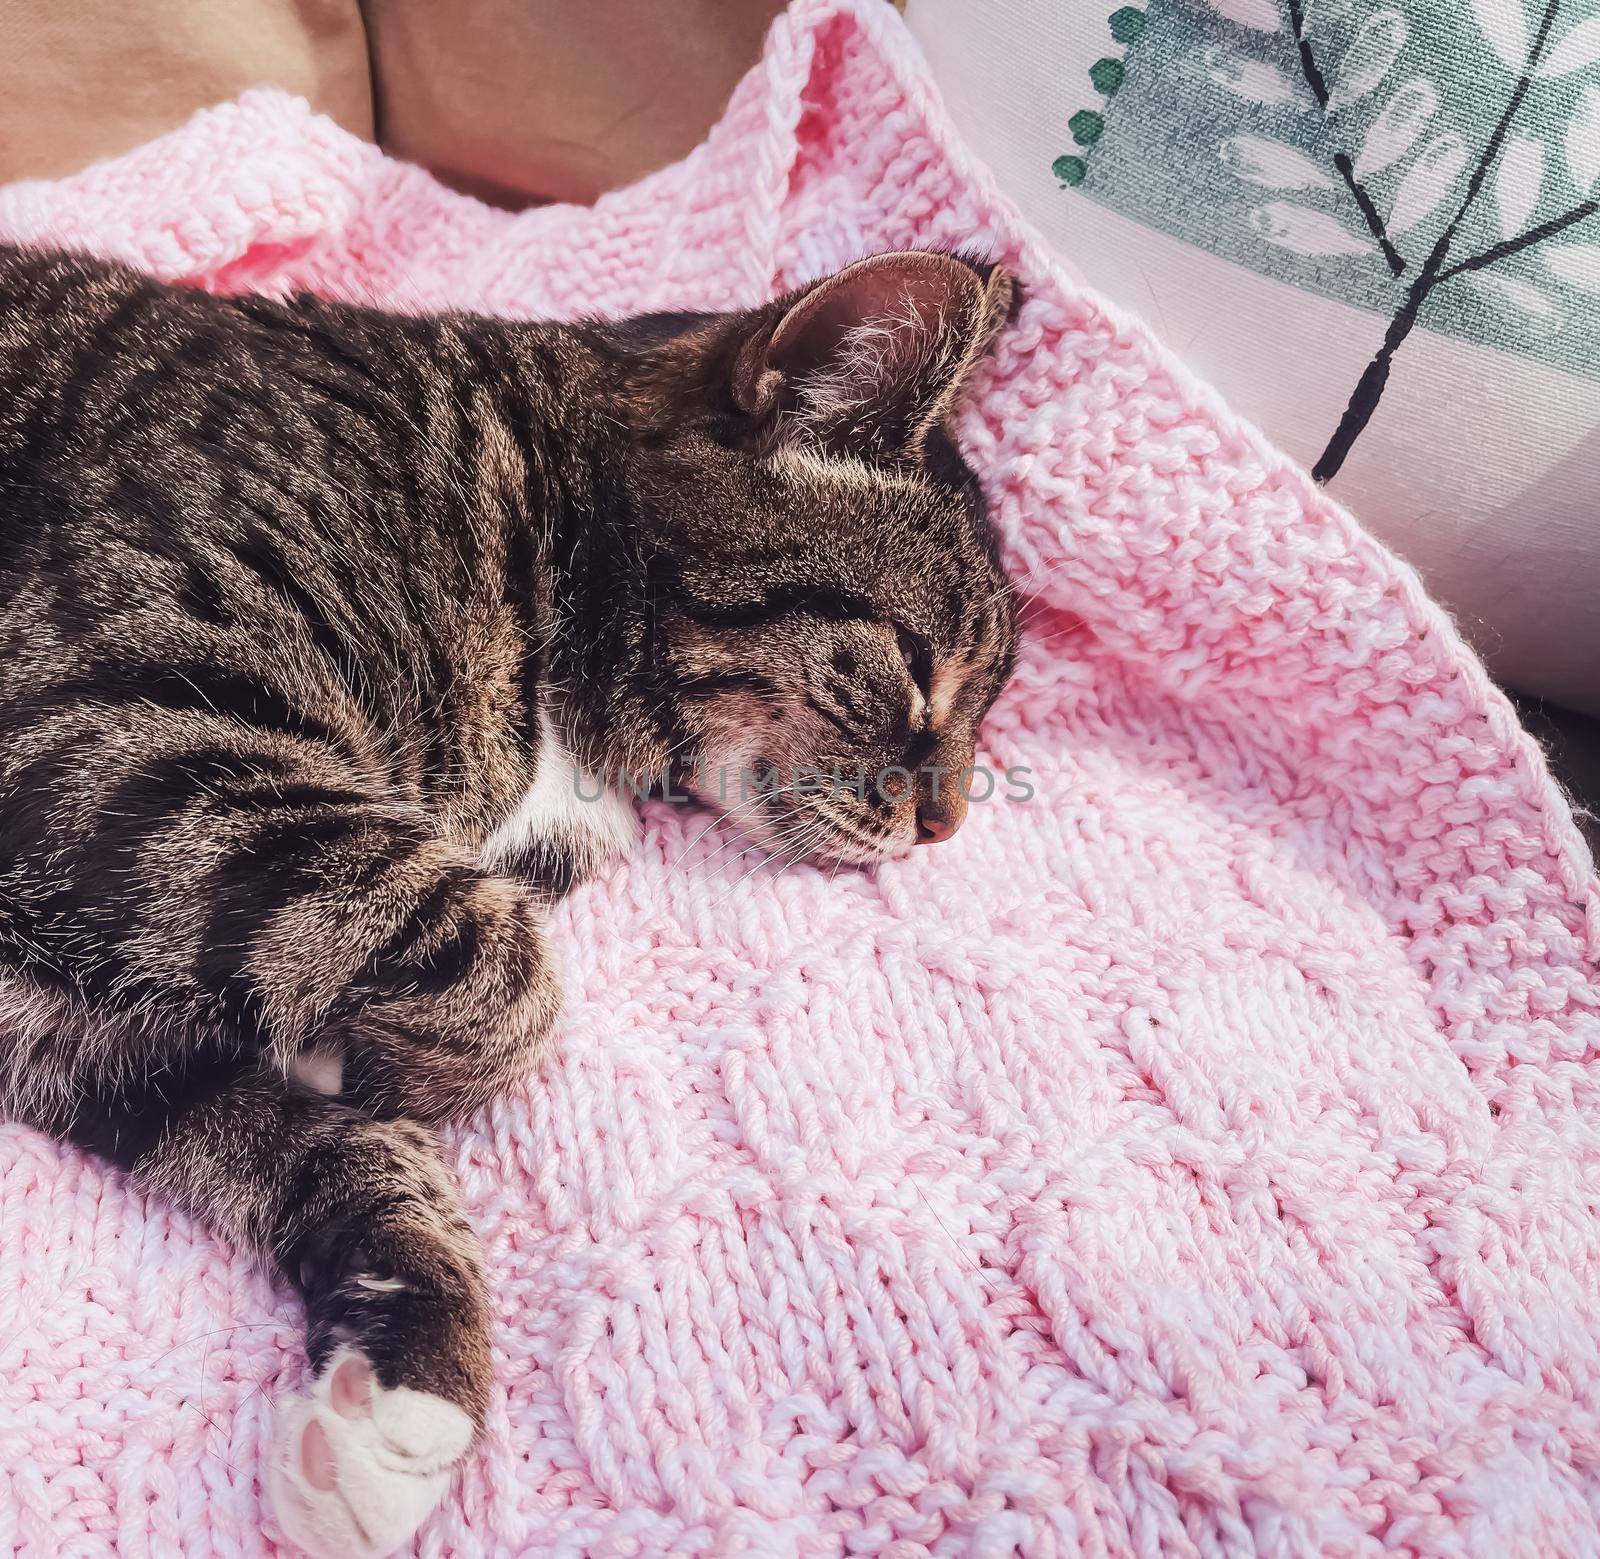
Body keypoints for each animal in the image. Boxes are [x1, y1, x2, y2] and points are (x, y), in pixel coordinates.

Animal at [0, 238, 1017, 1555]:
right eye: (917, 665)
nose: (947, 825)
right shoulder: (94, 720)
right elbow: (496, 965)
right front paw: (373, 1046)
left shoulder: (76, 1031)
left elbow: (314, 1136)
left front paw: (396, 1391)